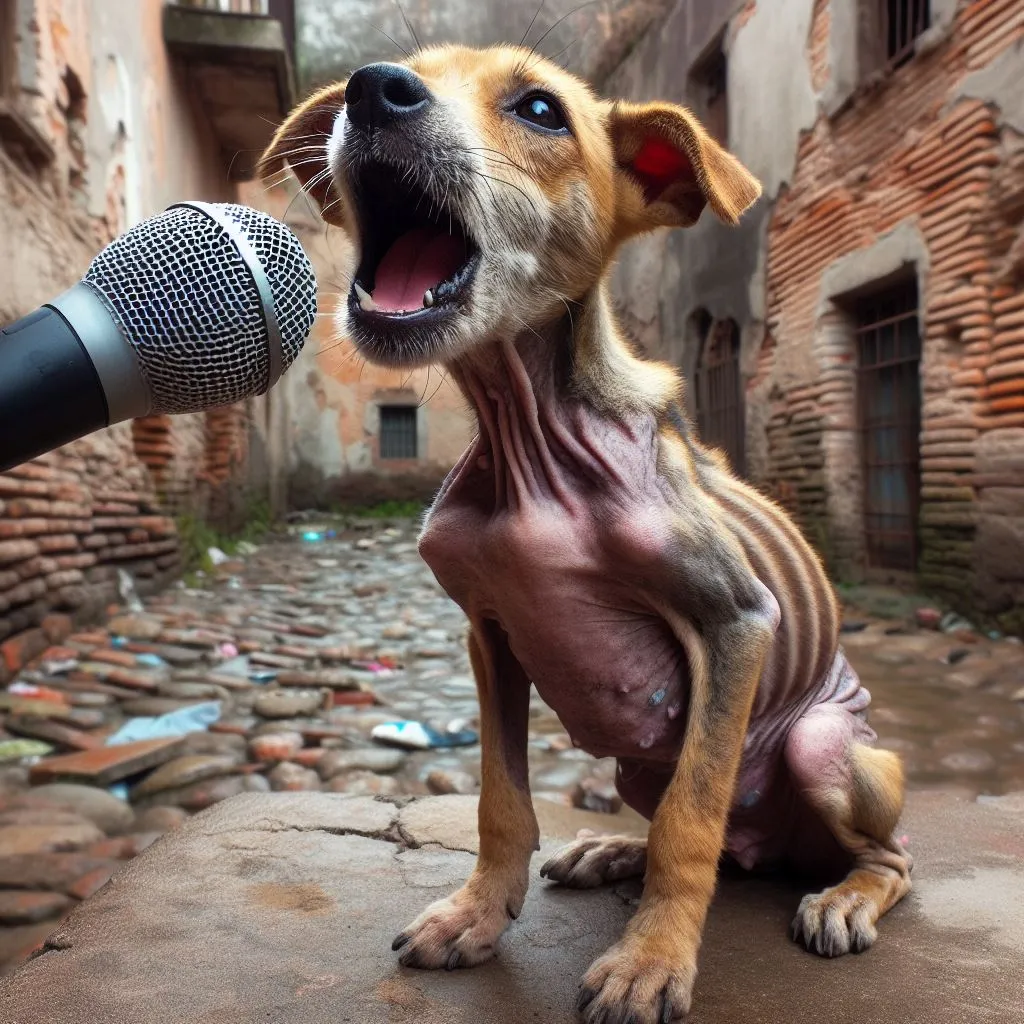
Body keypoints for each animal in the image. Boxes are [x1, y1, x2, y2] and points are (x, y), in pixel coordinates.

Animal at [262, 44, 913, 1019]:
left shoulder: (735, 620)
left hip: (821, 745)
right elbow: (503, 800)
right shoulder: (491, 634)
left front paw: (653, 957)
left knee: (878, 855)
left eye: (540, 109)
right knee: (718, 838)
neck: (531, 447)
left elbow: (692, 816)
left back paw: (842, 895)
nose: (371, 89)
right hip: (640, 765)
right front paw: (478, 913)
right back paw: (615, 852)